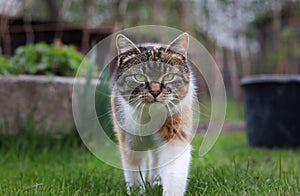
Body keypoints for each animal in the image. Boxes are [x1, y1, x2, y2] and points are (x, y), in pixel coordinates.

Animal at [111, 33, 196, 195]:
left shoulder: (175, 134)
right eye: (139, 77)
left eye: (168, 76)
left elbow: (173, 171)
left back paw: (155, 181)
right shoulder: (129, 139)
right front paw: (137, 191)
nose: (155, 91)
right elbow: (133, 170)